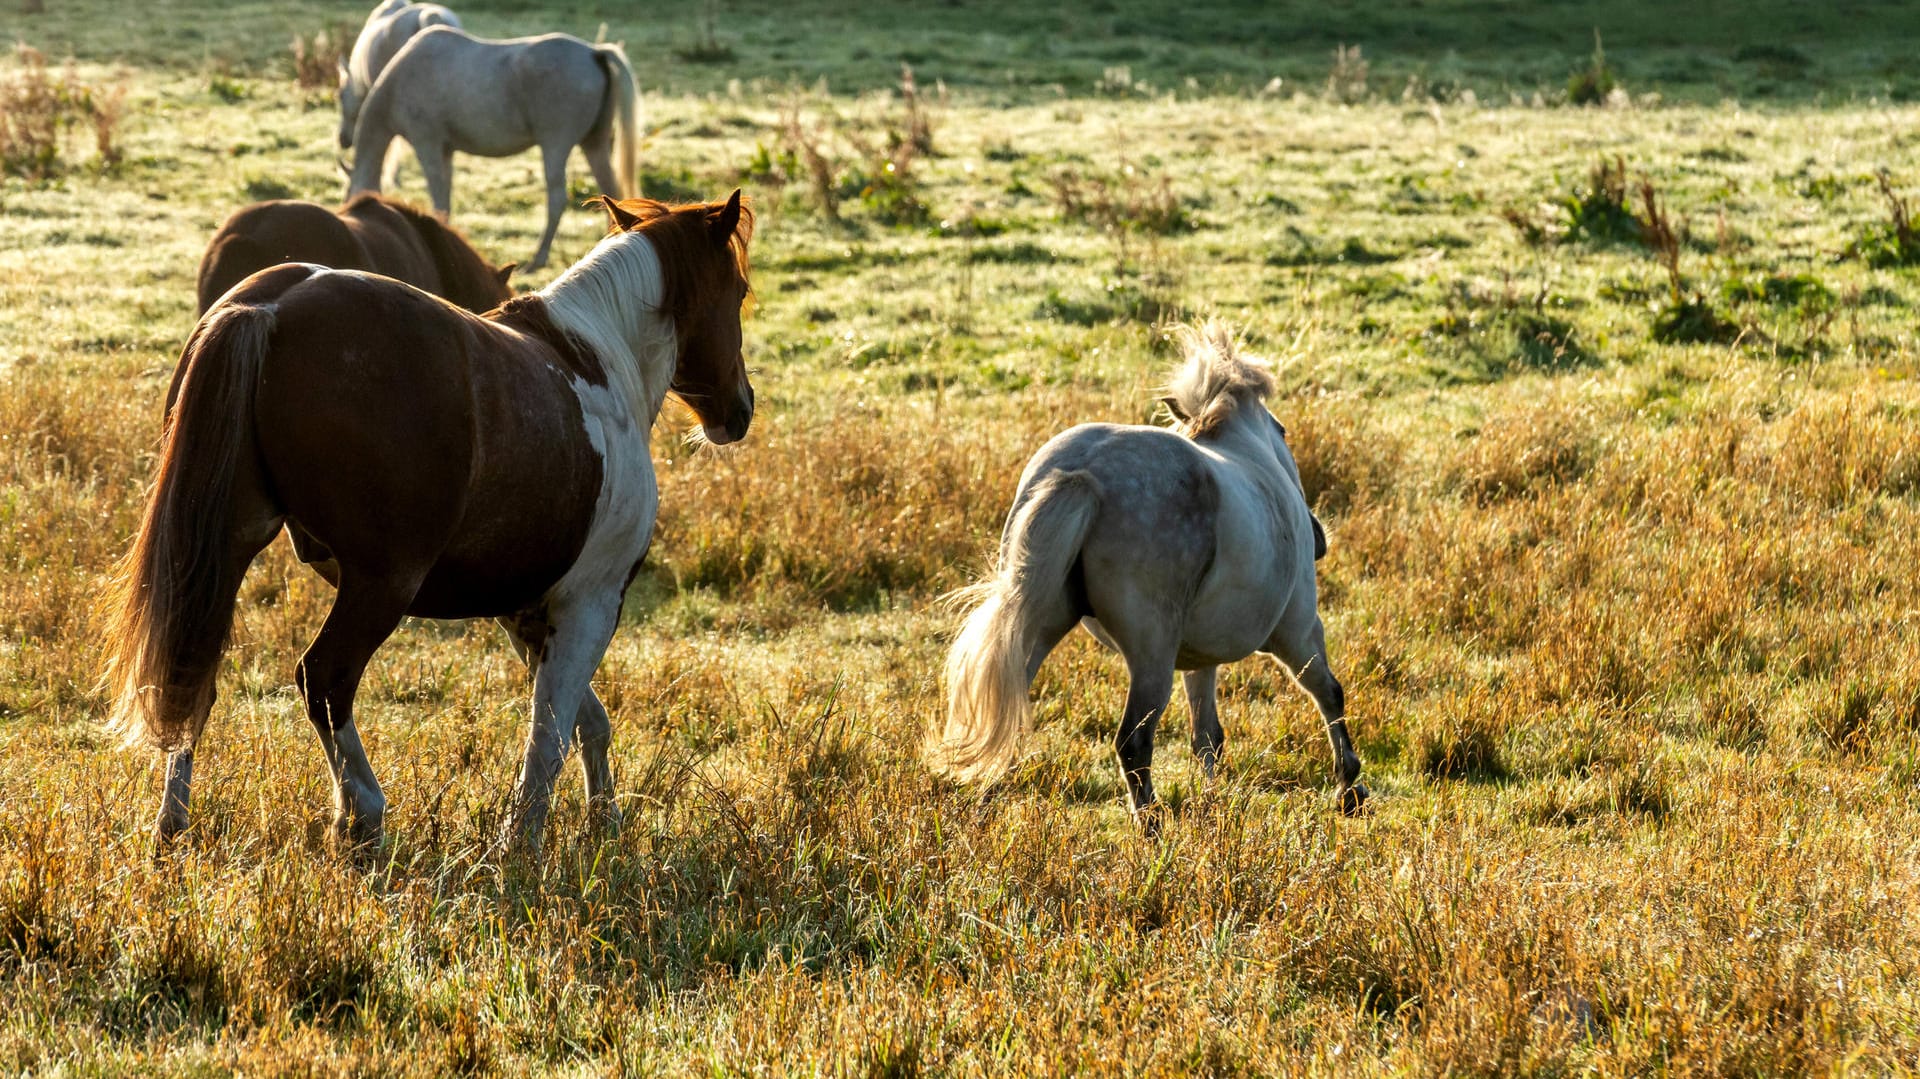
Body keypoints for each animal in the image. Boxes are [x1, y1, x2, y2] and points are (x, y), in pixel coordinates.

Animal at [343, 24, 637, 268]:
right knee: (609, 189)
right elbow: (445, 196)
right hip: (594, 144)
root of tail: (594, 53)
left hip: (555, 146)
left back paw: (538, 259)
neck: (403, 77)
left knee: (556, 199)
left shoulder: (427, 145)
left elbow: (438, 196)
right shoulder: (446, 151)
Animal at [929, 318, 1367, 821]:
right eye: (1284, 429)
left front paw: (1211, 805)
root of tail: (1081, 475)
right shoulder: (1297, 630)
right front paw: (1350, 787)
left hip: (1038, 626)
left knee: (1001, 707)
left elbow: (1207, 736)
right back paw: (1151, 826)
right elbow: (1328, 692)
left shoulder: (1201, 655)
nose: (1319, 538)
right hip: (1152, 653)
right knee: (1133, 743)